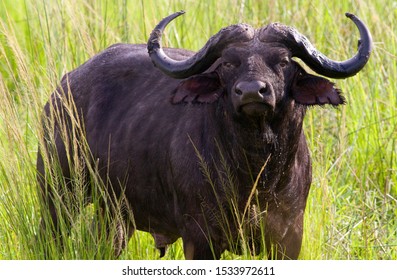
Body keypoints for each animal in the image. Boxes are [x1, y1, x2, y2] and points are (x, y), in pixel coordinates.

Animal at [37, 11, 372, 260]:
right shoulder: (200, 239)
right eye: (228, 63)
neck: (257, 174)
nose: (252, 92)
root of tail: (62, 90)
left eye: (283, 61)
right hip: (58, 195)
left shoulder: (289, 237)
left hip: (115, 214)